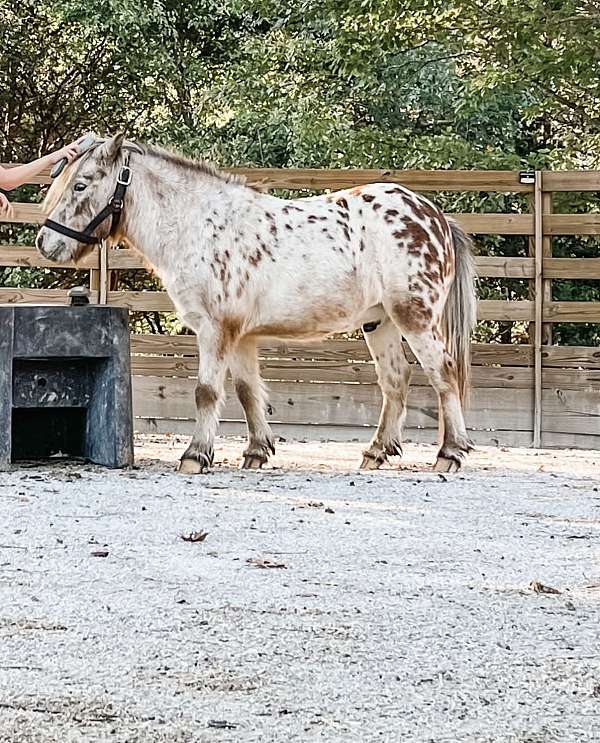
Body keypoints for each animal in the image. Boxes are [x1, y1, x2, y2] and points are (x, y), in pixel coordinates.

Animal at [36, 133, 477, 474]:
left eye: (81, 185)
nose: (45, 242)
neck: (198, 225)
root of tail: (433, 215)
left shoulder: (215, 329)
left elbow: (206, 392)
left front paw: (195, 455)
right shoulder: (242, 336)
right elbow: (248, 391)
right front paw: (256, 452)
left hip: (414, 318)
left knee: (443, 373)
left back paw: (450, 453)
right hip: (379, 322)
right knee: (395, 380)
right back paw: (376, 453)